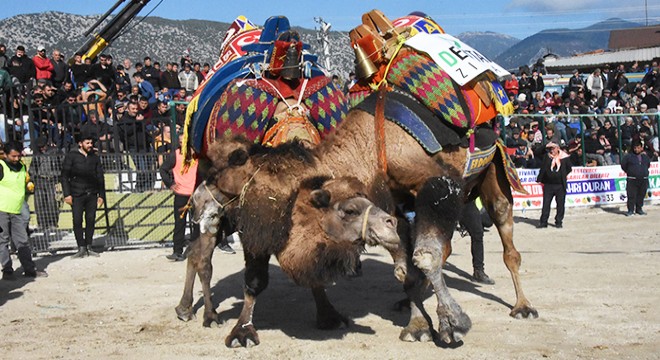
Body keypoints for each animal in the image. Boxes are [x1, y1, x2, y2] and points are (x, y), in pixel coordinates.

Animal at [173, 172, 400, 334]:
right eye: (350, 210)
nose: (392, 223)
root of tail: (198, 191)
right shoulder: (256, 238)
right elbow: (256, 280)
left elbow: (314, 278)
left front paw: (331, 318)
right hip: (212, 222)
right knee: (204, 261)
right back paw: (210, 316)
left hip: (223, 226)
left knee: (193, 251)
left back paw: (184, 309)